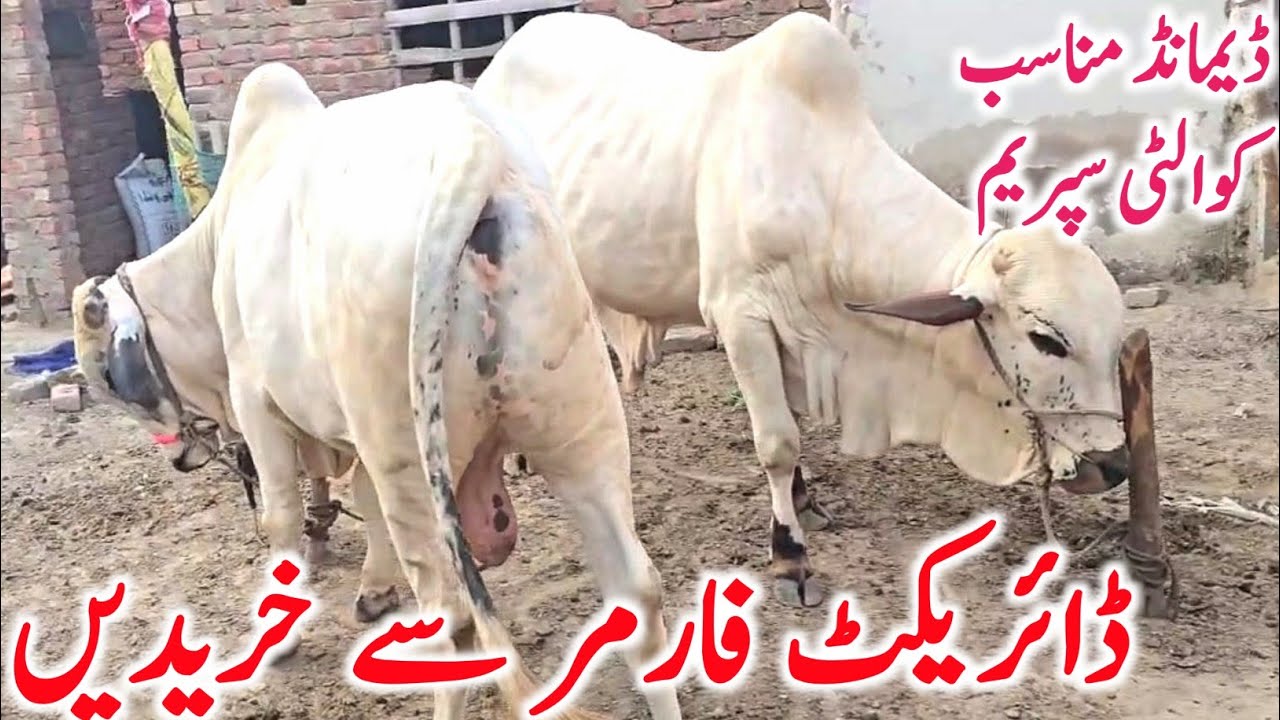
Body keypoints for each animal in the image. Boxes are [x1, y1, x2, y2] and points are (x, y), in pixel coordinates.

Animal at [70, 63, 681, 720]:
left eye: (108, 379)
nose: (180, 456)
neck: (215, 251)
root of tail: (474, 149)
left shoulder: (259, 404)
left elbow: (280, 518)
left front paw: (281, 639)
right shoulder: (349, 430)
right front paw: (374, 589)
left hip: (405, 452)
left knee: (452, 620)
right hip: (579, 421)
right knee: (635, 587)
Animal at [474, 11, 1132, 608]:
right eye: (1048, 340)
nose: (1114, 465)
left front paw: (805, 502)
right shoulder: (740, 316)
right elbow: (778, 440)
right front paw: (790, 555)